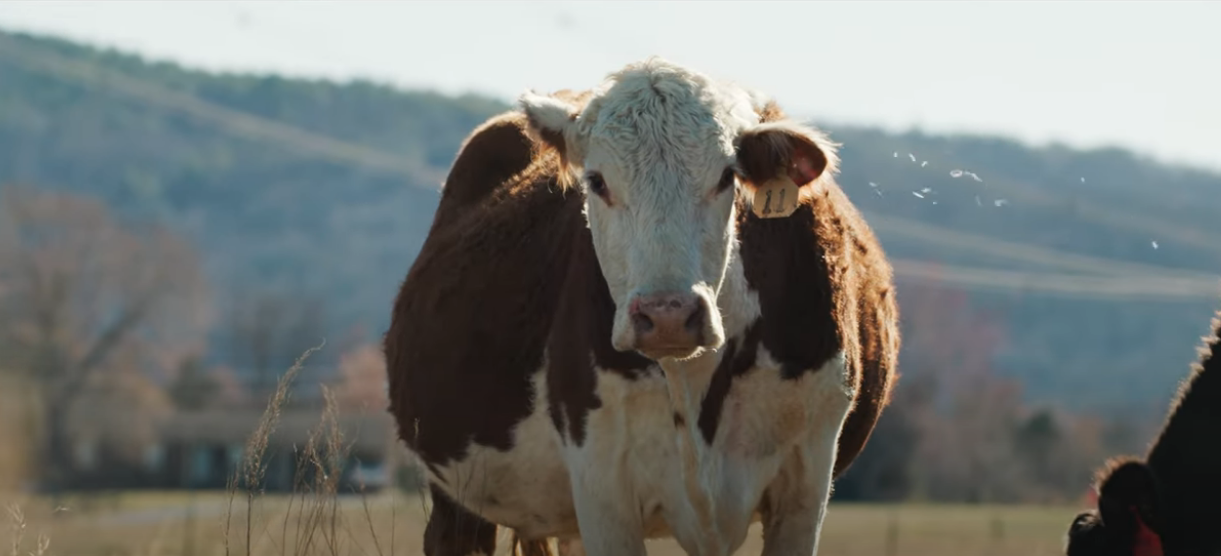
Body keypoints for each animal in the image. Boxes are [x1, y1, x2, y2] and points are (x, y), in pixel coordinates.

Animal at [383, 58, 900, 556]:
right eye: (596, 181)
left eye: (726, 176)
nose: (668, 314)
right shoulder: (602, 487)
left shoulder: (805, 485)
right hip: (457, 489)